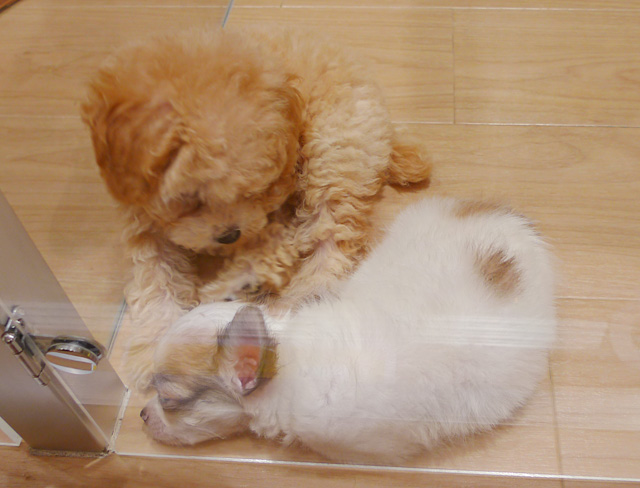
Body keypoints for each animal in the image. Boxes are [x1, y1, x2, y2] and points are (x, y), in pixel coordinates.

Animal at [81, 26, 432, 390]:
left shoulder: (274, 200)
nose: (229, 235)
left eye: (251, 191)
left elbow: (277, 241)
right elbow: (156, 276)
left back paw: (291, 297)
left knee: (329, 236)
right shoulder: (143, 217)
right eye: (191, 197)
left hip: (332, 149)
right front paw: (155, 345)